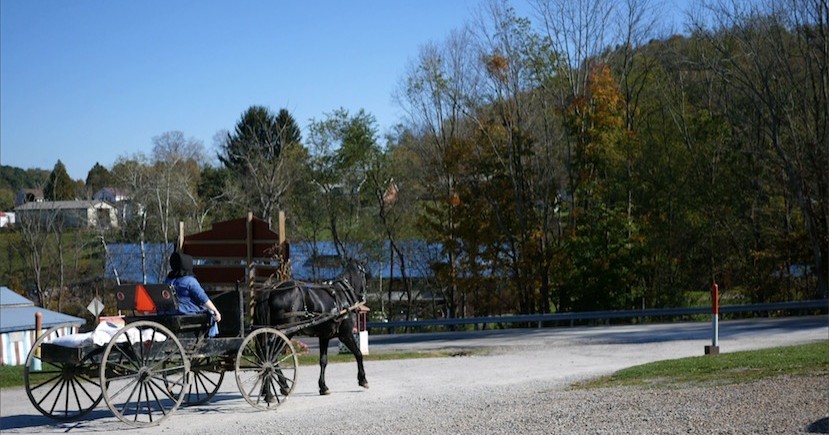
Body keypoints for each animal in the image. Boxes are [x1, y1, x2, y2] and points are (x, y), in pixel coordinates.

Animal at [252, 258, 368, 396]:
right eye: (364, 274)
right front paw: (363, 379)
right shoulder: (346, 335)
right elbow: (358, 353)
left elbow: (323, 361)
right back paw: (277, 388)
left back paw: (272, 389)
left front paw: (323, 386)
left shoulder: (324, 337)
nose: (363, 295)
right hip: (285, 333)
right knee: (271, 356)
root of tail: (271, 291)